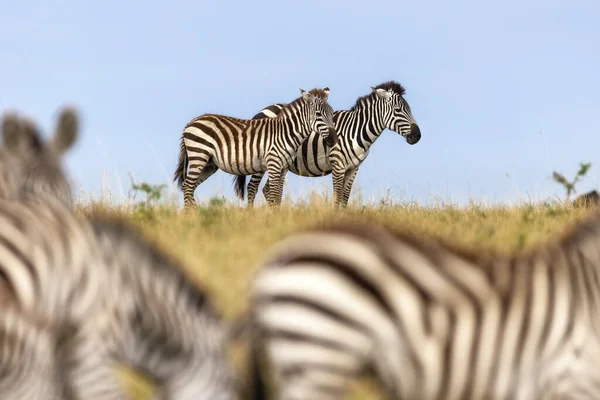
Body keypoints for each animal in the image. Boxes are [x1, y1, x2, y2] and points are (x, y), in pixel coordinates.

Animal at [232, 81, 420, 206]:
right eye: (398, 110)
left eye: (409, 109)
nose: (417, 136)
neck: (357, 130)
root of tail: (261, 111)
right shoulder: (338, 165)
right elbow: (337, 198)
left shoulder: (353, 168)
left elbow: (344, 198)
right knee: (252, 187)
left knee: (266, 189)